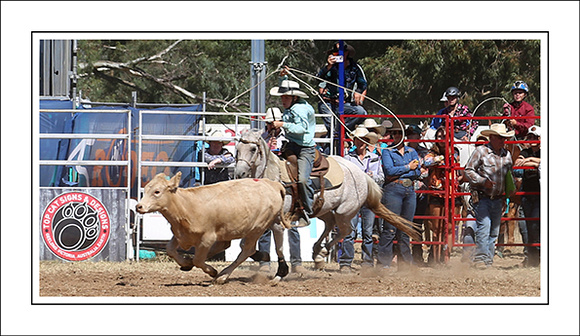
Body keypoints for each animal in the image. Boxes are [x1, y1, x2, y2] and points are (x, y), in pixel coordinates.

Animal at [234, 129, 422, 270]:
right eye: (237, 148)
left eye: (253, 149)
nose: (239, 173)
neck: (275, 176)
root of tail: (362, 174)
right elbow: (245, 243)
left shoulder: (278, 221)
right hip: (322, 208)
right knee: (331, 224)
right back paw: (318, 254)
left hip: (344, 211)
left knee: (345, 231)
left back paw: (322, 253)